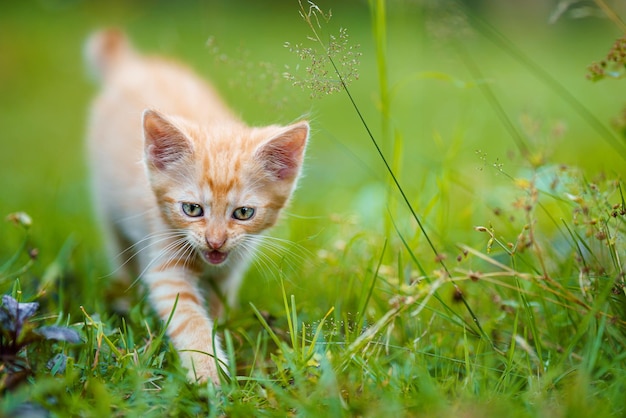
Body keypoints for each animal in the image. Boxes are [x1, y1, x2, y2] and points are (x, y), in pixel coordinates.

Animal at [84, 29, 308, 386]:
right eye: (192, 209)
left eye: (243, 213)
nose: (215, 241)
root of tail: (134, 65)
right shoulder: (165, 265)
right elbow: (189, 317)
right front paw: (208, 371)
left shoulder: (232, 266)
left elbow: (218, 303)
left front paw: (222, 326)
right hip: (108, 207)